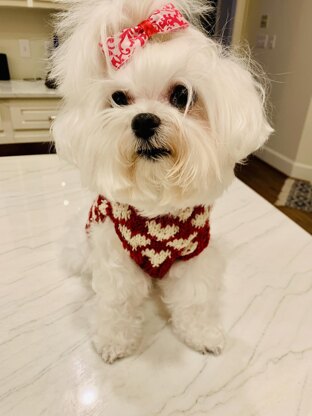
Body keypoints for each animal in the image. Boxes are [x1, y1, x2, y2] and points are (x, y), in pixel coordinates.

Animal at [50, 0, 270, 362]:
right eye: (119, 98)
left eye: (181, 94)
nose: (143, 121)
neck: (157, 204)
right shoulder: (116, 257)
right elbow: (118, 301)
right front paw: (114, 340)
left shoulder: (194, 257)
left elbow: (195, 299)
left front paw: (202, 334)